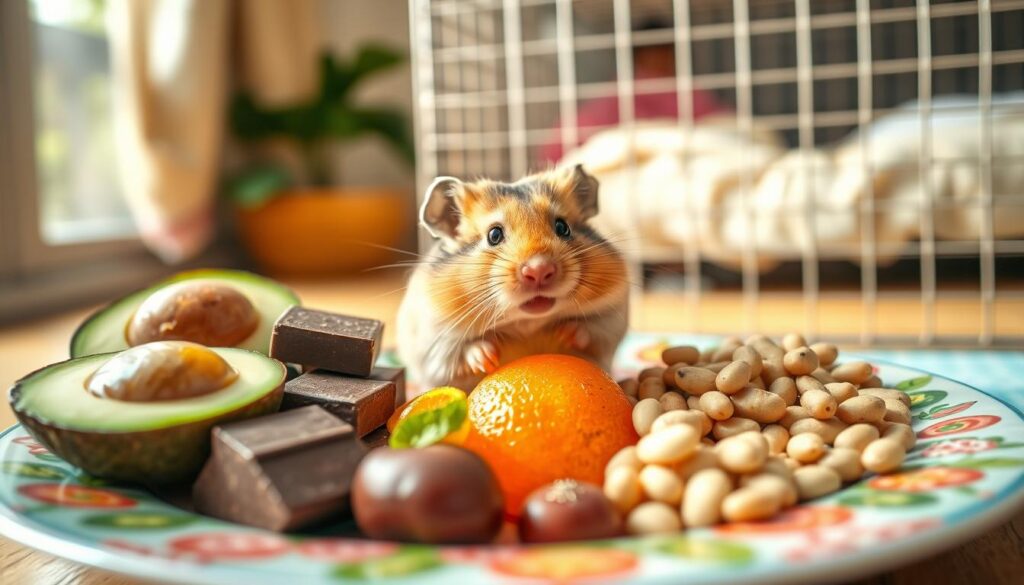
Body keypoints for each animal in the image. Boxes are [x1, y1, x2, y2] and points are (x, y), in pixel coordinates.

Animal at [397, 165, 629, 391]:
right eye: (494, 235)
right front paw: (487, 356)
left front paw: (565, 332)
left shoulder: (612, 316)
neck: (525, 322)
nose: (539, 270)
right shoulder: (435, 339)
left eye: (563, 227)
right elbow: (464, 350)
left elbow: (591, 329)